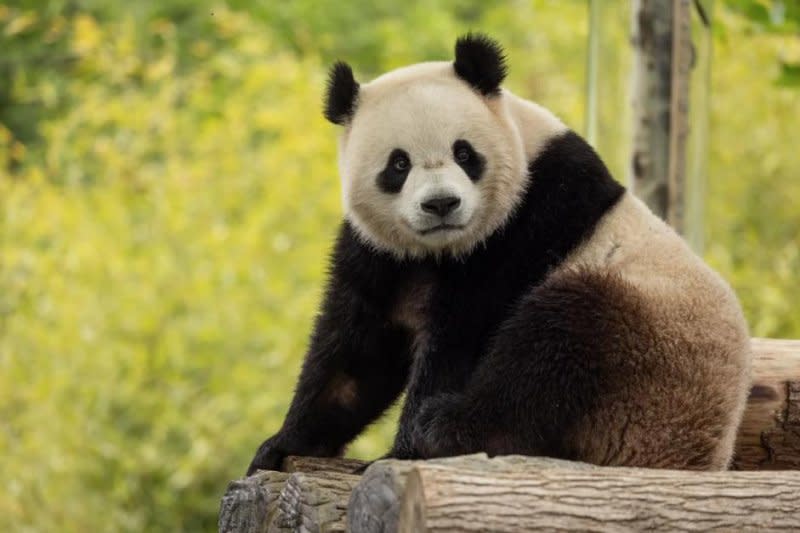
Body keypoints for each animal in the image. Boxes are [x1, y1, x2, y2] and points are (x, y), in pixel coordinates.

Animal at [247, 34, 752, 474]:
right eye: (398, 164)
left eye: (464, 153)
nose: (441, 204)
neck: (439, 250)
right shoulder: (381, 253)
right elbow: (356, 352)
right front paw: (282, 445)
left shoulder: (525, 224)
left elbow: (462, 337)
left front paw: (403, 451)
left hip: (649, 355)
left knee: (556, 342)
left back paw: (447, 427)